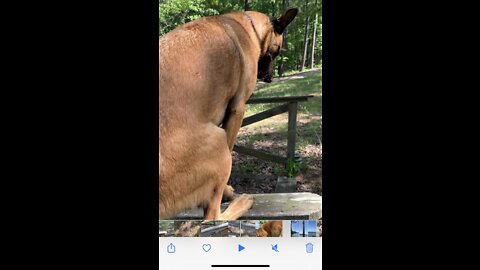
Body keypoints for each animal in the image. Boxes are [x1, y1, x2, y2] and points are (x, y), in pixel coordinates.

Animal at [159, 8, 298, 219]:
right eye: (279, 49)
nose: (270, 78)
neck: (250, 26)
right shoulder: (237, 109)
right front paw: (227, 192)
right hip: (220, 144)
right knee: (213, 217)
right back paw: (241, 203)